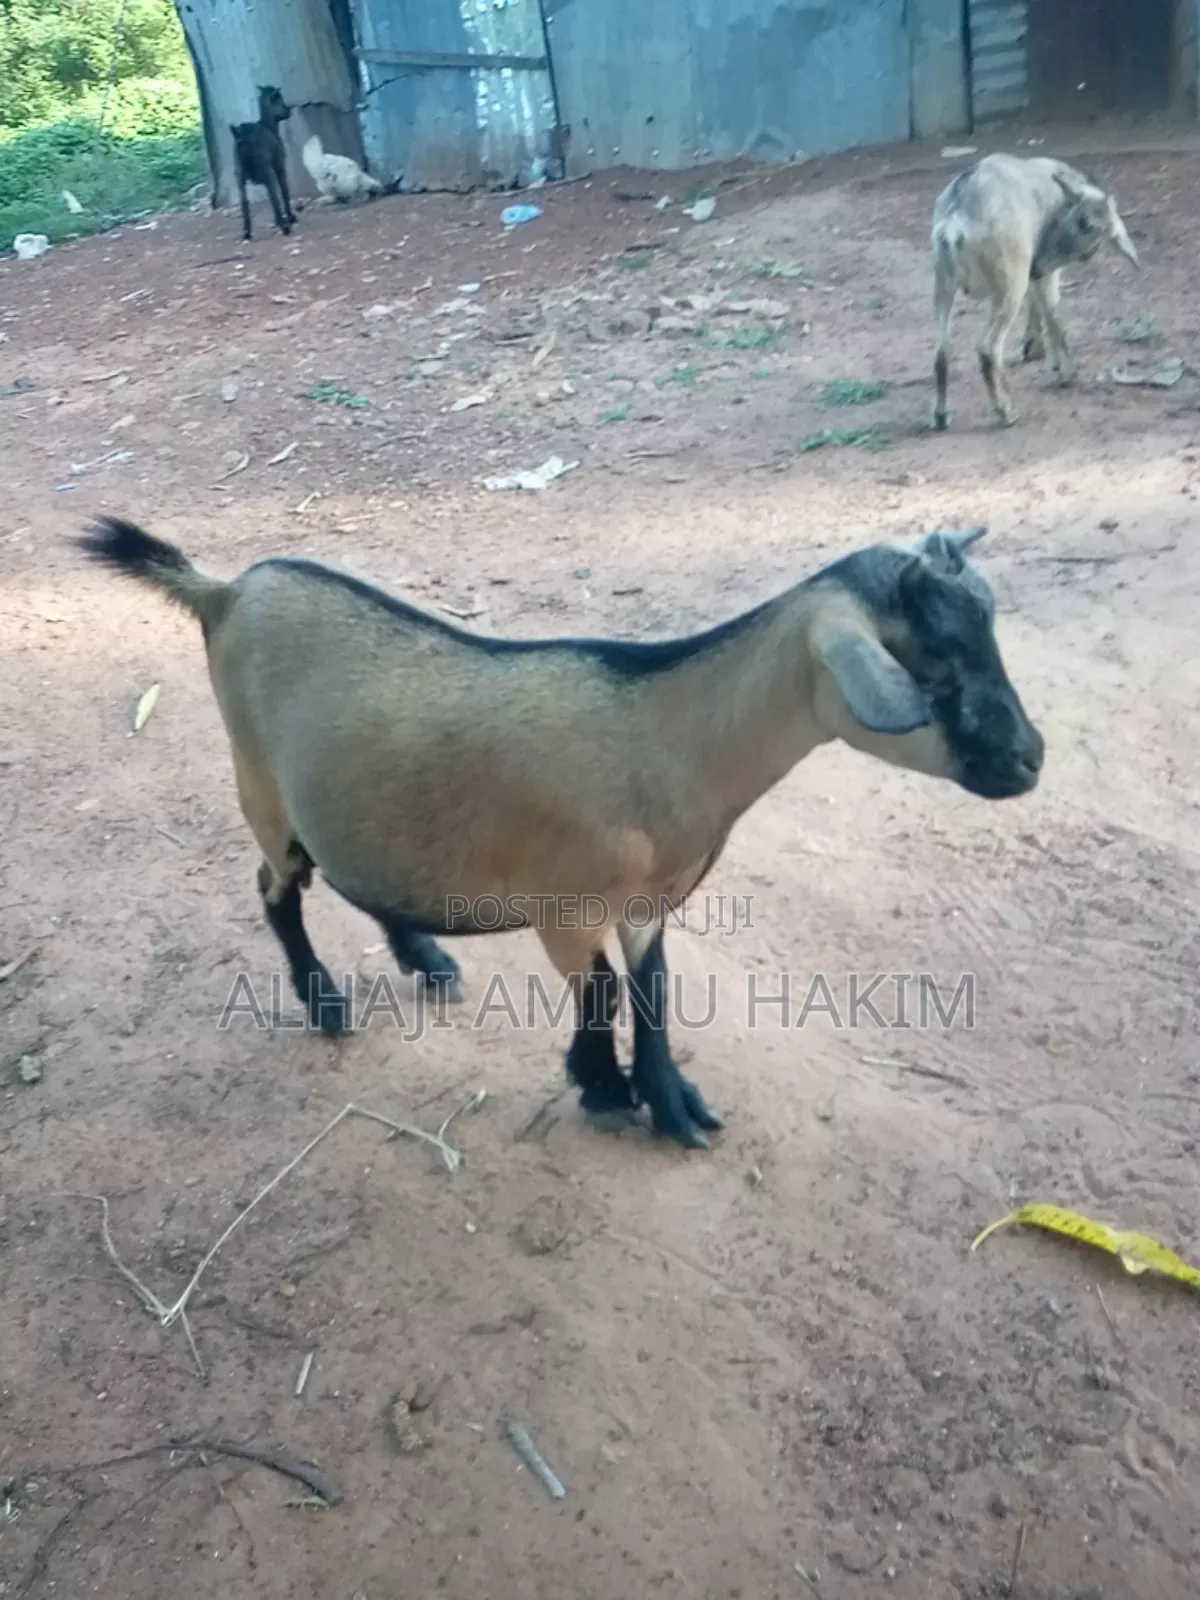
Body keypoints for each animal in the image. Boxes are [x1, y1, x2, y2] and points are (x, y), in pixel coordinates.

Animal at [75, 517, 1044, 1153]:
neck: (668, 737)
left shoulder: (649, 905)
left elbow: (653, 992)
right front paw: (606, 1089)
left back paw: (426, 957)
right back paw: (323, 1003)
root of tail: (226, 589)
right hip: (263, 789)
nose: (1030, 760)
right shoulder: (564, 910)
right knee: (277, 887)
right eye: (936, 663)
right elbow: (607, 992)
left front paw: (673, 1102)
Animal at [230, 85, 296, 242]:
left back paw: (247, 232)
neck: (268, 125)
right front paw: (290, 217)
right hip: (266, 169)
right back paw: (284, 225)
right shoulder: (279, 165)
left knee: (244, 201)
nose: (289, 109)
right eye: (280, 99)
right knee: (273, 195)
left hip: (239, 173)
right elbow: (284, 189)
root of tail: (240, 135)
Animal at [931, 153, 1139, 430]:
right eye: (1082, 228)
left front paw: (1035, 347)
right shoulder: (1041, 270)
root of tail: (956, 221)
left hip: (943, 281)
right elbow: (1052, 308)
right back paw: (1007, 411)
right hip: (1010, 283)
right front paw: (1066, 371)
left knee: (941, 352)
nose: (1038, 265)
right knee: (988, 348)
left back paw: (941, 415)